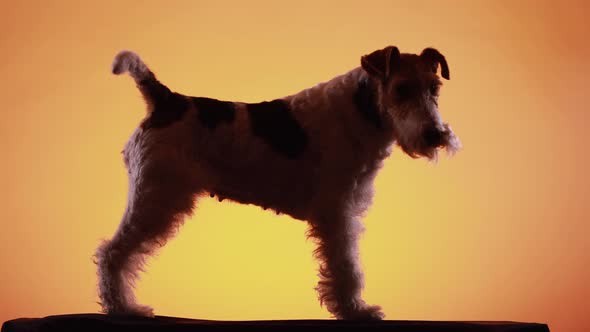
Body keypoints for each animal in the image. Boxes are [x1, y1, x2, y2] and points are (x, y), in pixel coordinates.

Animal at [95, 45, 462, 320]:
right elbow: (346, 266)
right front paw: (356, 311)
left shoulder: (345, 208)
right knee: (111, 252)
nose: (435, 135)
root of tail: (165, 100)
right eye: (401, 89)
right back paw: (123, 308)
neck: (363, 111)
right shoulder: (337, 212)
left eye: (434, 88)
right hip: (155, 197)